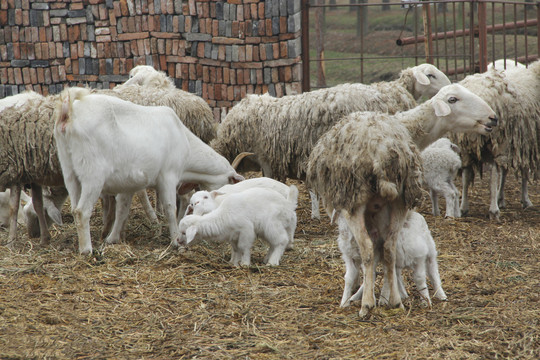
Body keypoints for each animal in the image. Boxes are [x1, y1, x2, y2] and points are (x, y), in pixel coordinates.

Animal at [306, 83, 496, 316]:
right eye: (453, 99)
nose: (493, 118)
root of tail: (380, 150)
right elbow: (382, 253)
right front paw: (382, 294)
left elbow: (375, 253)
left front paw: (375, 295)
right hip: (390, 200)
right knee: (384, 248)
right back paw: (387, 301)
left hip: (360, 201)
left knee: (370, 249)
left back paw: (370, 304)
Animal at [448, 62, 540, 219]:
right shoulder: (525, 142)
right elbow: (523, 172)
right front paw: (525, 200)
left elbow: (505, 170)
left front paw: (501, 198)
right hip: (496, 138)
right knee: (493, 174)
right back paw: (493, 210)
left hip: (465, 142)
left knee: (466, 173)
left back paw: (463, 207)